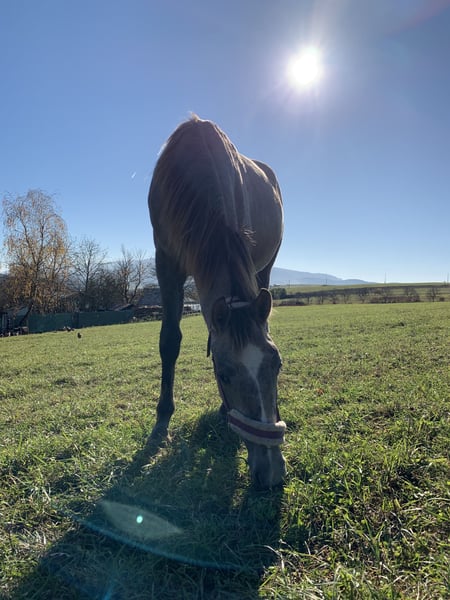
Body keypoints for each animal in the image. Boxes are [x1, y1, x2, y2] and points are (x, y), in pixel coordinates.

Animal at [148, 115, 286, 488]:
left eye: (278, 364)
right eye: (223, 374)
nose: (271, 471)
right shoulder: (166, 261)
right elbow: (170, 341)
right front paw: (162, 418)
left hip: (266, 266)